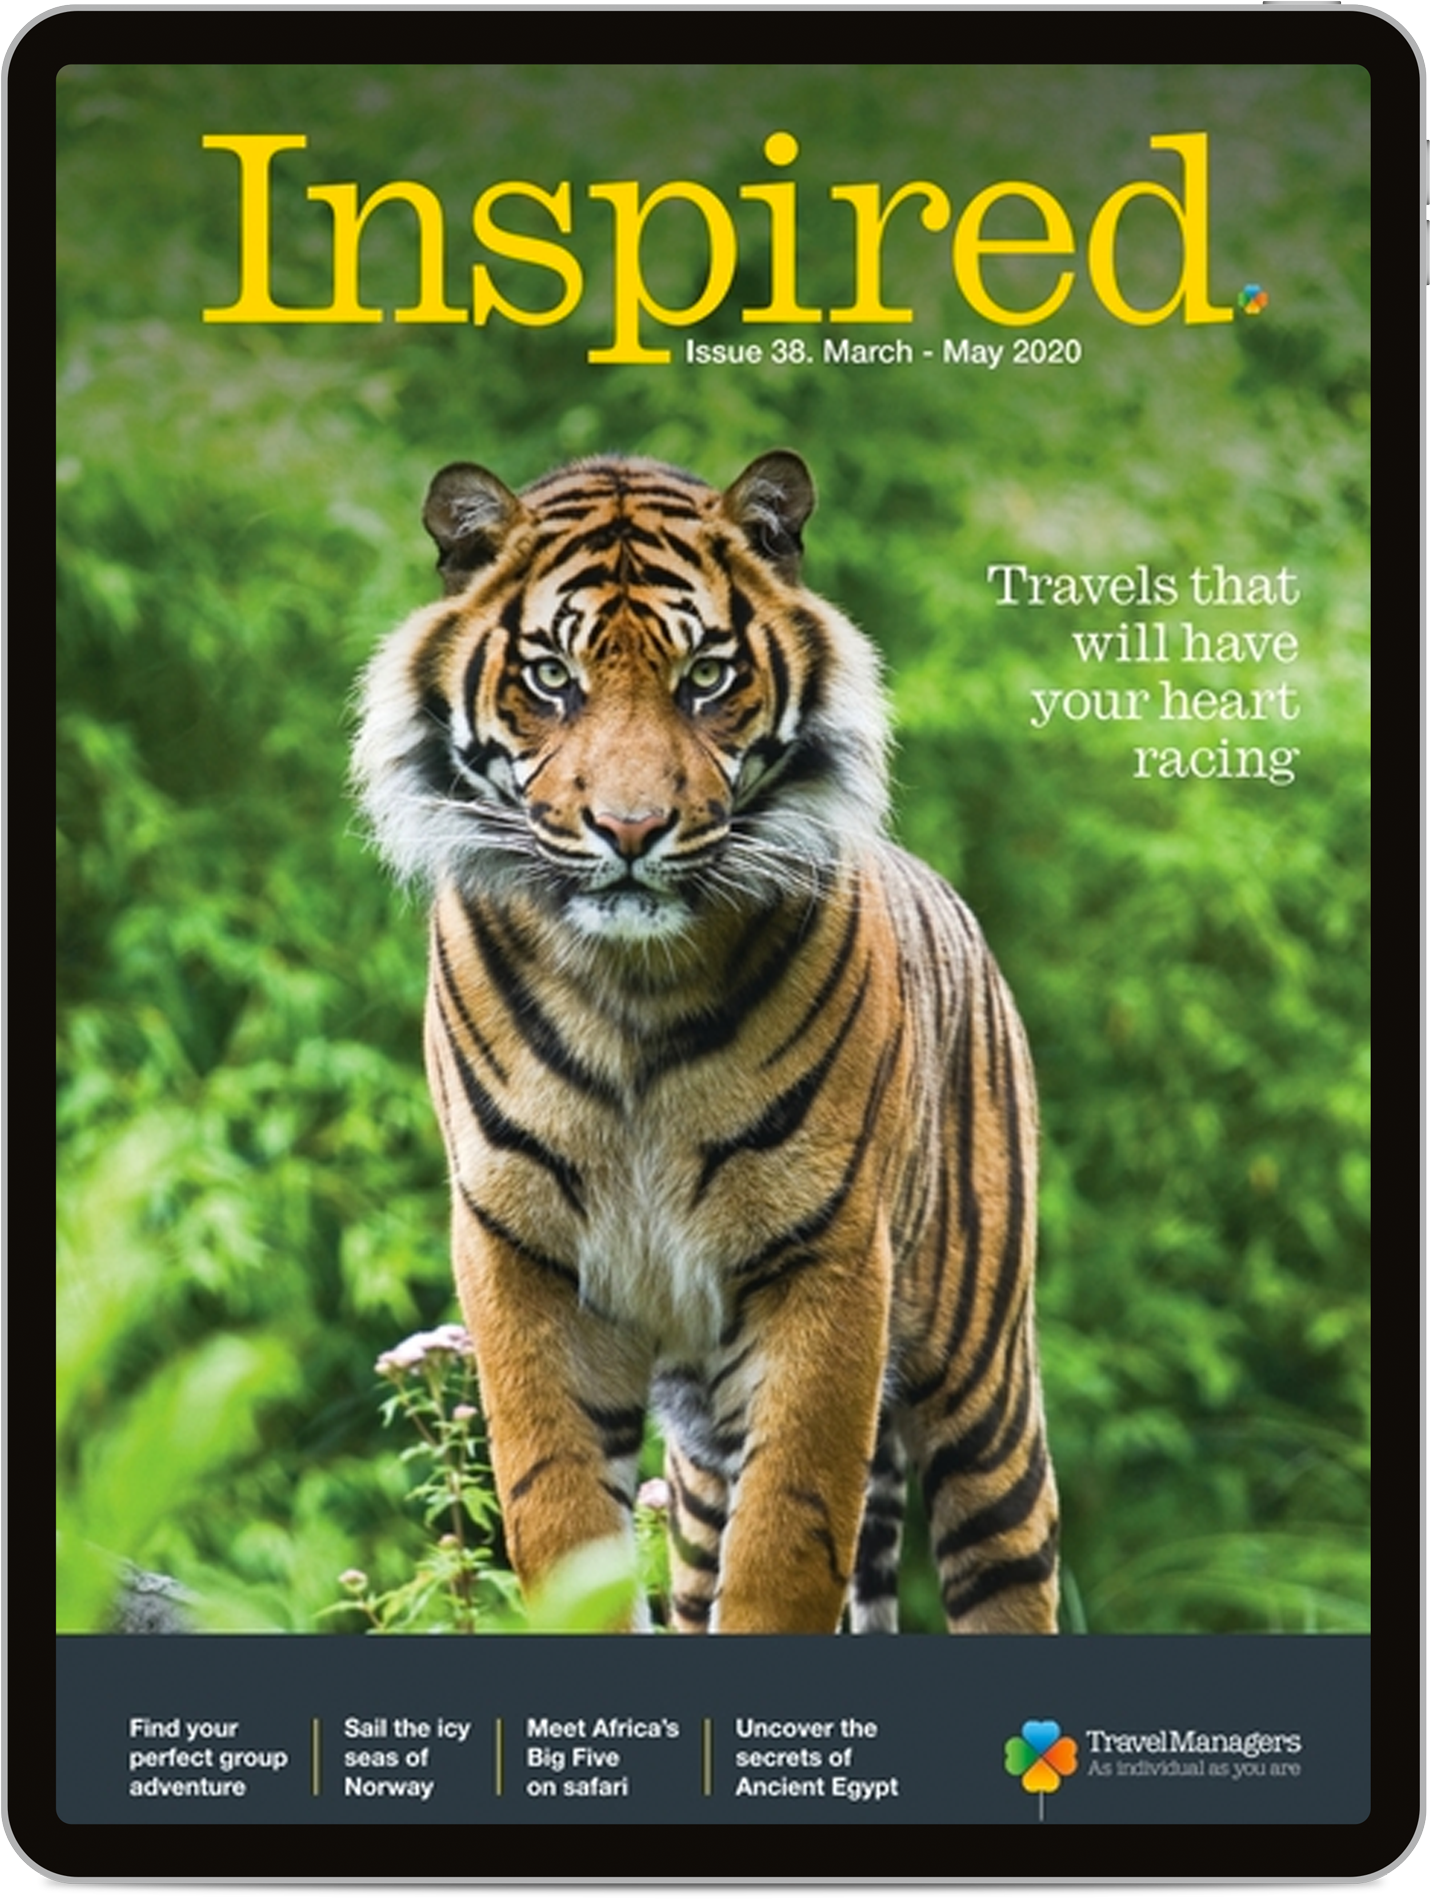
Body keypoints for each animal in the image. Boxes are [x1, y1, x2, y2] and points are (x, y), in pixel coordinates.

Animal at [353, 449, 1058, 1634]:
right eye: (552, 678)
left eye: (706, 677)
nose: (631, 831)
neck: (630, 989)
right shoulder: (517, 1250)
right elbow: (558, 1515)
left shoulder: (823, 1262)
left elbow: (786, 1546)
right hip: (696, 1457)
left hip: (984, 1393)